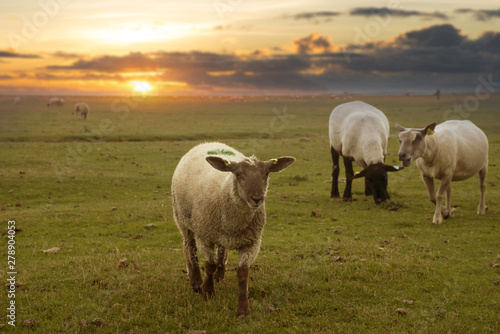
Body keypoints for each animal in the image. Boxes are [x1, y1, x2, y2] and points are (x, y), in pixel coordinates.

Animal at [172, 142, 296, 318]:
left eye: (266, 173)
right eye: (238, 173)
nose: (257, 198)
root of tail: (209, 143)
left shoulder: (251, 242)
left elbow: (243, 274)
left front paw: (243, 309)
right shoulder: (205, 237)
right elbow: (209, 265)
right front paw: (207, 292)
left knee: (221, 248)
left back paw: (219, 274)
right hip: (182, 218)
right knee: (189, 247)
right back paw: (196, 281)